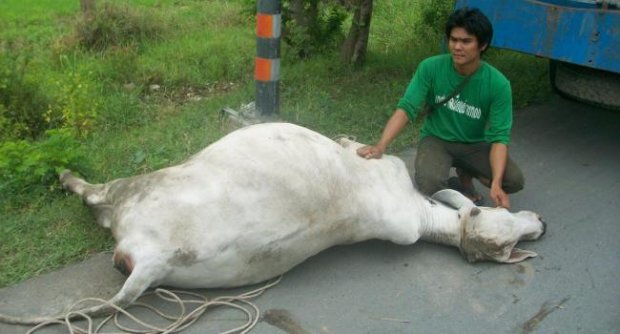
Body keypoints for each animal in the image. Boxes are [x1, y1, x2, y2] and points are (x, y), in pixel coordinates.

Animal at [0, 122, 544, 324]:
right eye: (505, 229)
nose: (538, 221)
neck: (423, 217)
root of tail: (152, 261)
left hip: (136, 190)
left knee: (94, 196)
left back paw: (66, 175)